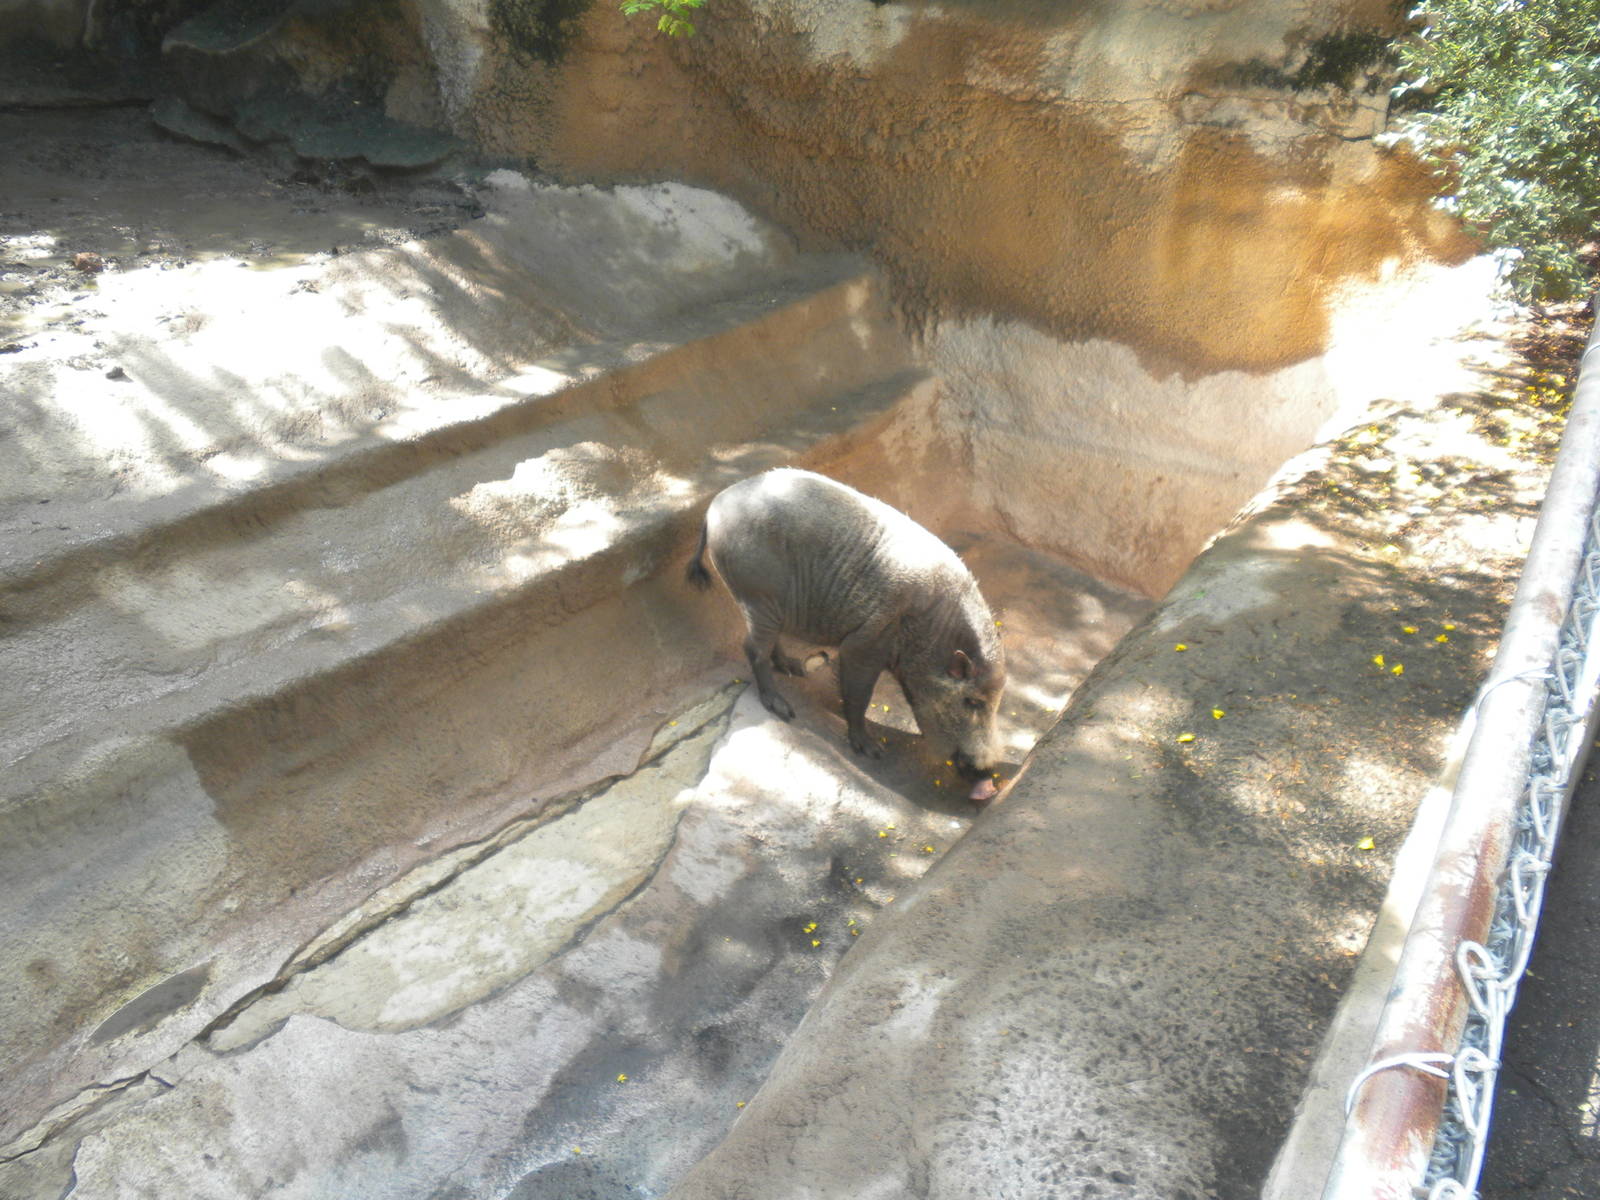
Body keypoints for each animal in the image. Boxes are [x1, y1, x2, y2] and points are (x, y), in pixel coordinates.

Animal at [686, 469, 1006, 784]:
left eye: (997, 701)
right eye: (972, 701)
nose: (987, 769)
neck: (933, 631)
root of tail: (713, 510)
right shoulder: (865, 642)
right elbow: (858, 695)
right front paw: (873, 751)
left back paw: (794, 669)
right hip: (757, 597)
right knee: (752, 648)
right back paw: (783, 709)